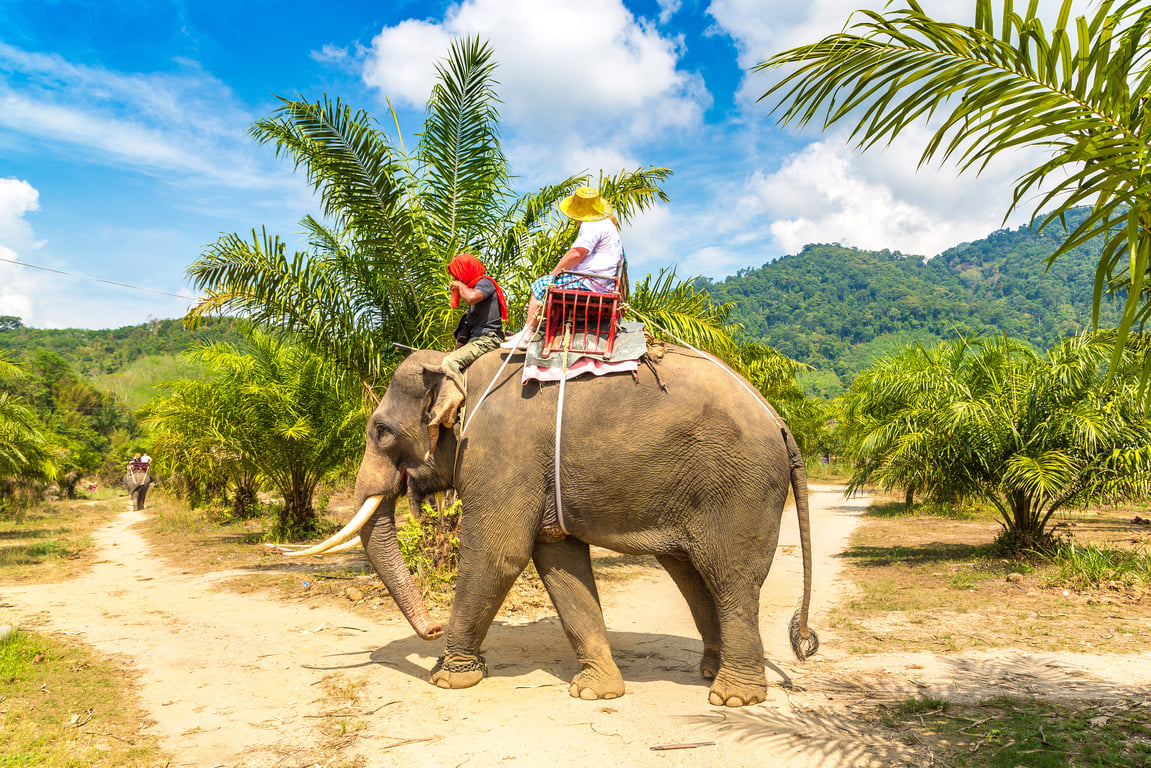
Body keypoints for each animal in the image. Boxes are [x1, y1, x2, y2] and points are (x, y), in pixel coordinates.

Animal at [303, 343, 818, 707]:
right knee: (691, 573)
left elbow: (498, 555)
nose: (430, 631)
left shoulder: (501, 453)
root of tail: (780, 422)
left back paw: (732, 697)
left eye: (381, 431)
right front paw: (595, 691)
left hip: (739, 487)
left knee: (731, 576)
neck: (459, 364)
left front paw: (449, 678)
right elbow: (557, 559)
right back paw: (711, 672)